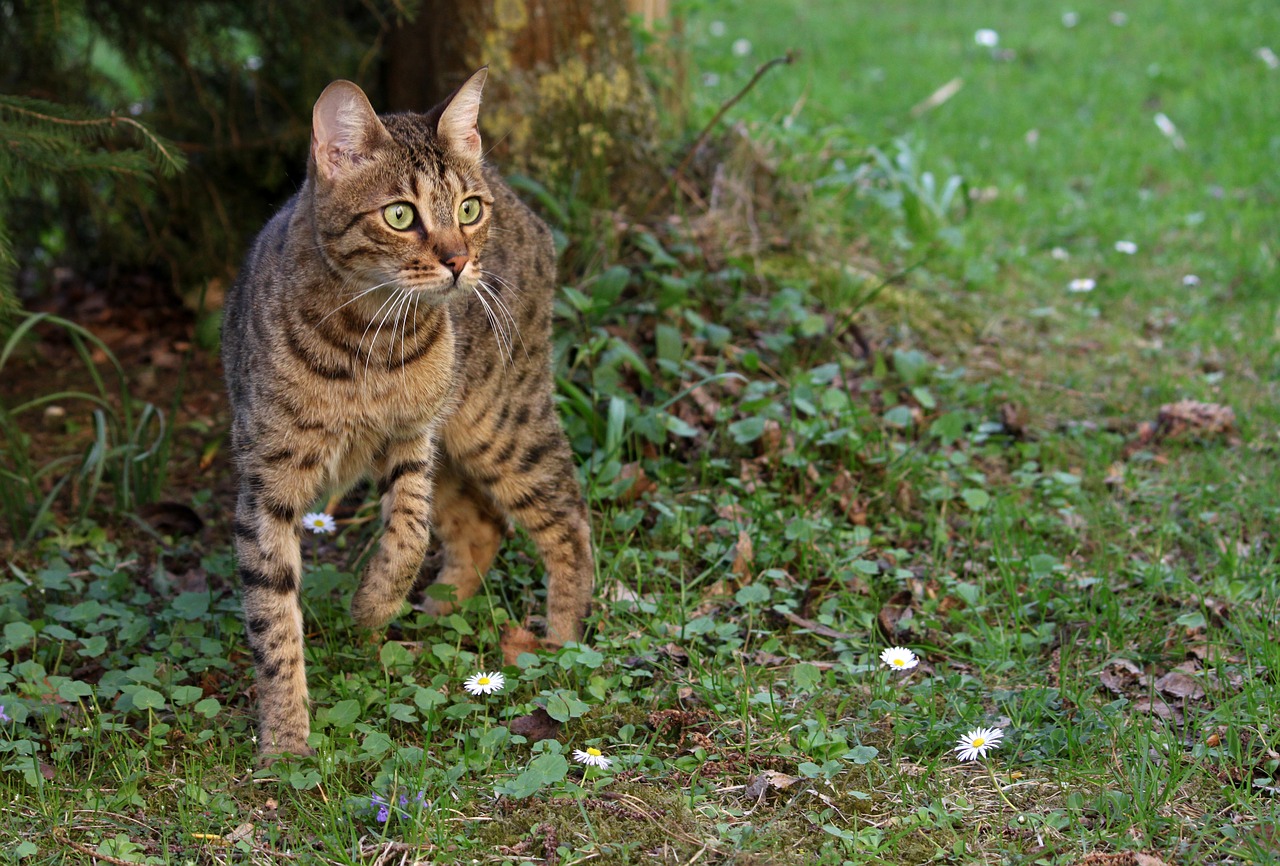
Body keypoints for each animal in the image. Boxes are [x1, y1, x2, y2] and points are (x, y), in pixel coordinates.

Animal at [221, 70, 593, 752]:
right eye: (400, 215)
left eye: (467, 210)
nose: (458, 261)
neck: (365, 344)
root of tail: (518, 196)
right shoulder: (266, 482)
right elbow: (273, 619)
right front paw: (285, 743)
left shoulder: (414, 439)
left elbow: (410, 534)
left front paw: (370, 604)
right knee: (483, 527)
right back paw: (440, 615)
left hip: (500, 419)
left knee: (569, 516)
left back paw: (560, 642)